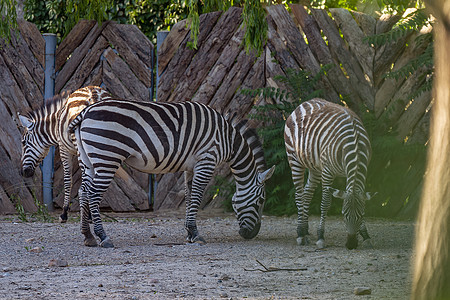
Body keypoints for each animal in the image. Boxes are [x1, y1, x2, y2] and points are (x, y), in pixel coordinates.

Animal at [18, 85, 112, 221]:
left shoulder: (63, 148)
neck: (55, 124)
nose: (23, 172)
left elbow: (68, 179)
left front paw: (64, 212)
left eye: (24, 143)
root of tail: (94, 94)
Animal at [284, 99, 376, 251]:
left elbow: (360, 198)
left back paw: (306, 231)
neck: (355, 146)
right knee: (298, 194)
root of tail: (304, 103)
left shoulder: (361, 170)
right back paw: (300, 233)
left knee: (307, 193)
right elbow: (325, 203)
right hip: (294, 159)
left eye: (362, 215)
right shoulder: (328, 172)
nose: (351, 245)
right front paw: (321, 237)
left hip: (315, 166)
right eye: (343, 215)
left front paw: (366, 235)